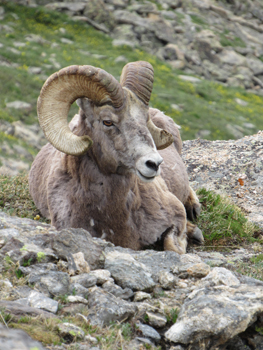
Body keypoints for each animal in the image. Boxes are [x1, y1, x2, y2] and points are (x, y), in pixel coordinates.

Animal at [29, 60, 204, 253]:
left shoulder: (176, 214)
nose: (154, 164)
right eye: (107, 122)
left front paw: (194, 232)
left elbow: (172, 246)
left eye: (145, 119)